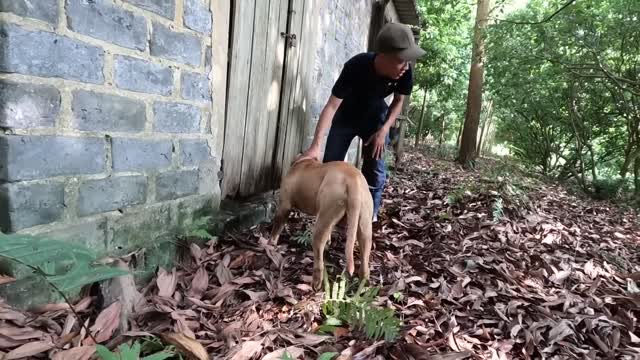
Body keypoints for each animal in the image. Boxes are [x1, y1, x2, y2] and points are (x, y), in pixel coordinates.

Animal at [268, 156, 372, 292]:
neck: (305, 160)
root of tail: (352, 179)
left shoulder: (284, 206)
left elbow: (277, 227)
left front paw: (271, 243)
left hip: (322, 220)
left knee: (319, 261)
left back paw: (315, 283)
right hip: (364, 226)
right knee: (365, 262)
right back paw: (363, 287)